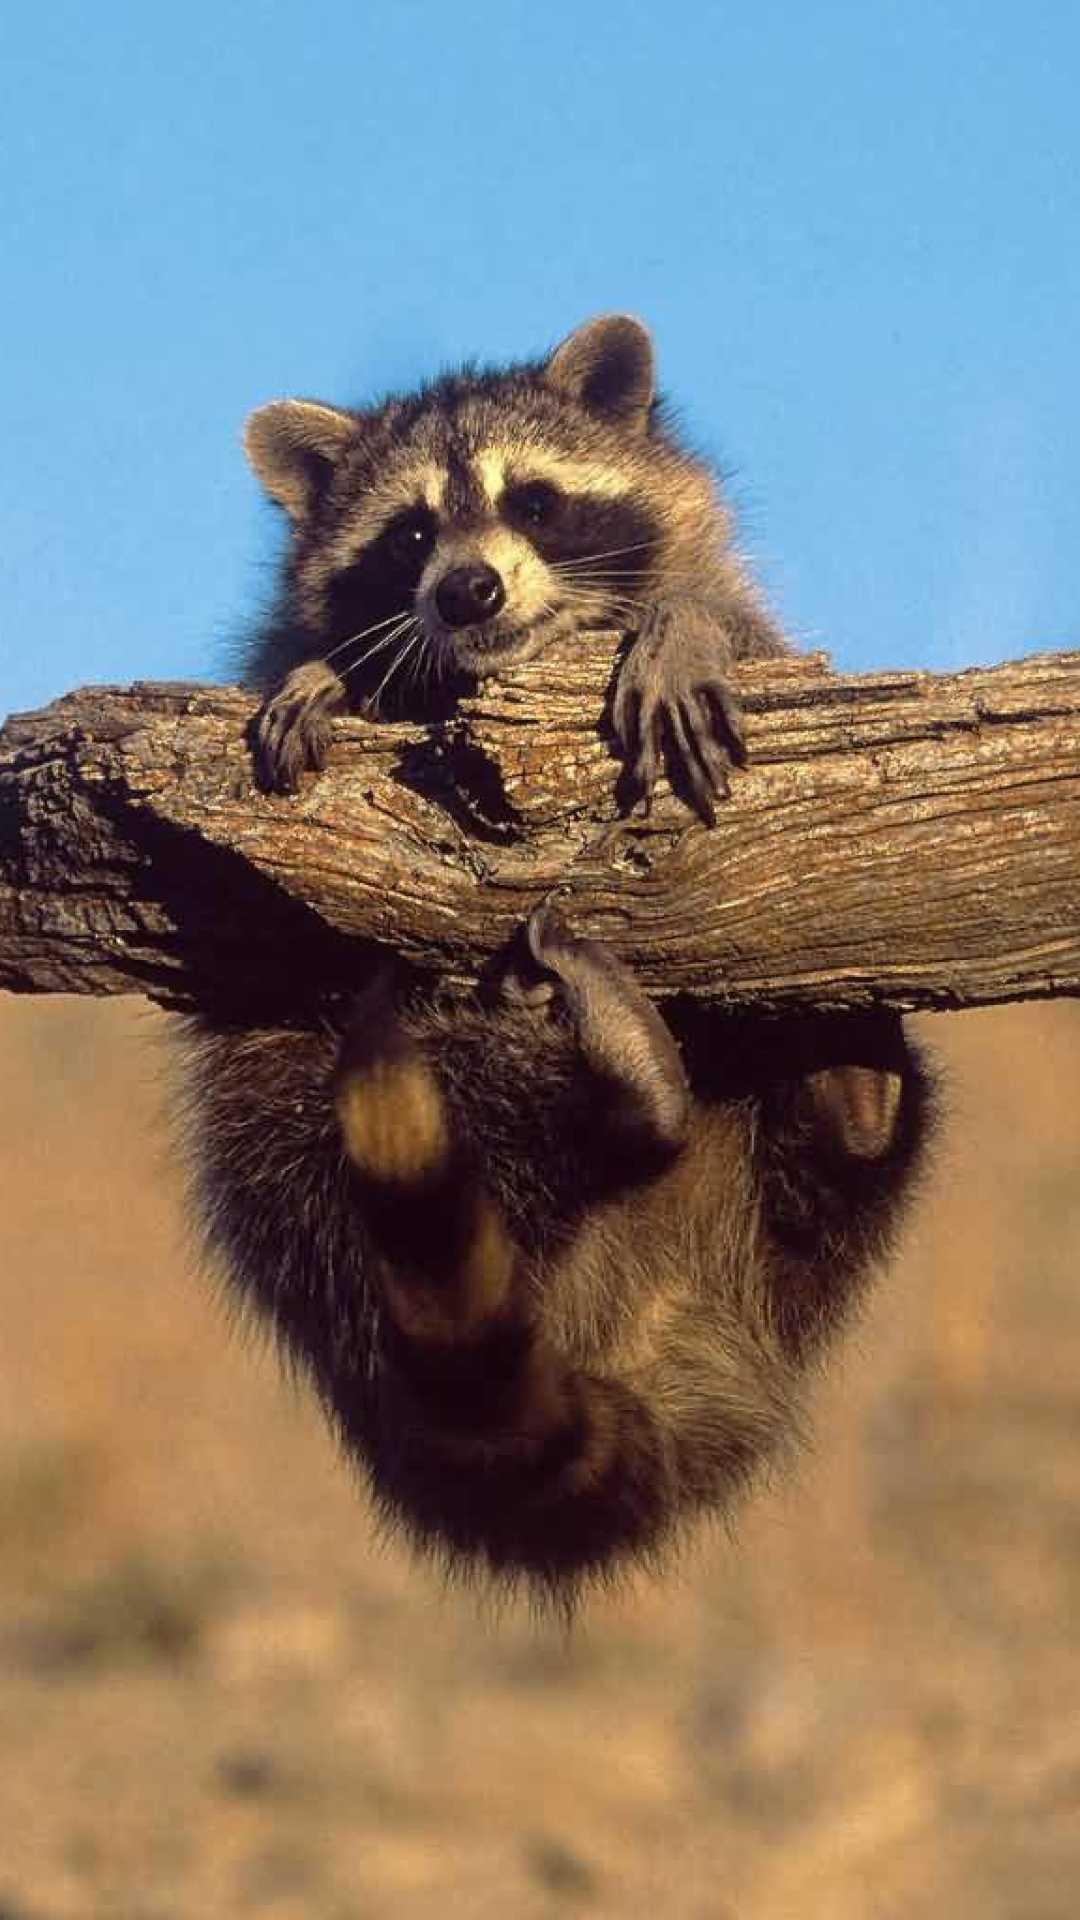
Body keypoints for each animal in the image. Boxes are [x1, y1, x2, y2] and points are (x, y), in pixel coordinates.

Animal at [184, 316, 931, 1600]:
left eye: (532, 501)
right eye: (410, 534)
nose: (466, 589)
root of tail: (674, 1320)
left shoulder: (760, 636)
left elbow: (730, 631)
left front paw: (675, 630)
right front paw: (335, 676)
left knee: (842, 1158)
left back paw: (847, 1086)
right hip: (288, 1138)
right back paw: (630, 1095)